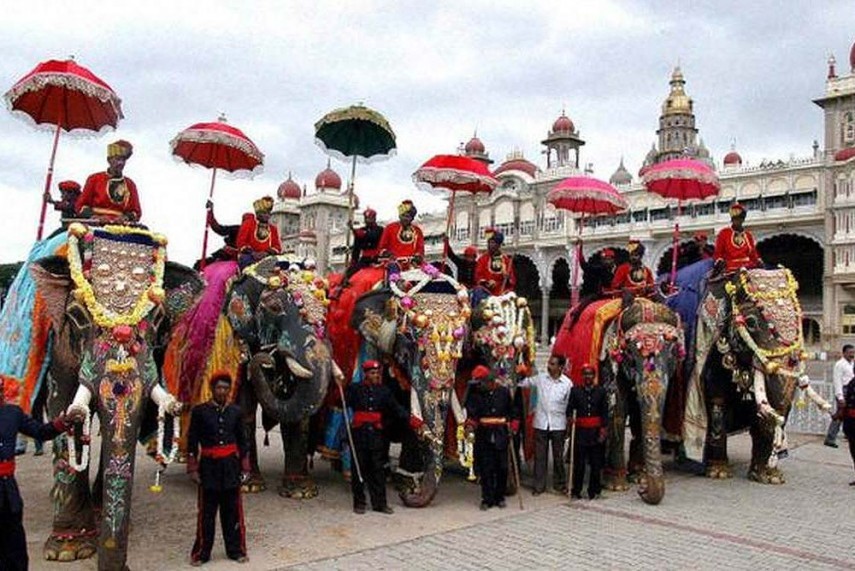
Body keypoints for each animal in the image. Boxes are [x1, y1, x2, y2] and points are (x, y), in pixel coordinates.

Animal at [29, 225, 204, 571]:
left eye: (160, 320)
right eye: (77, 316)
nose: (123, 567)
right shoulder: (61, 348)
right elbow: (62, 407)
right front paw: (67, 549)